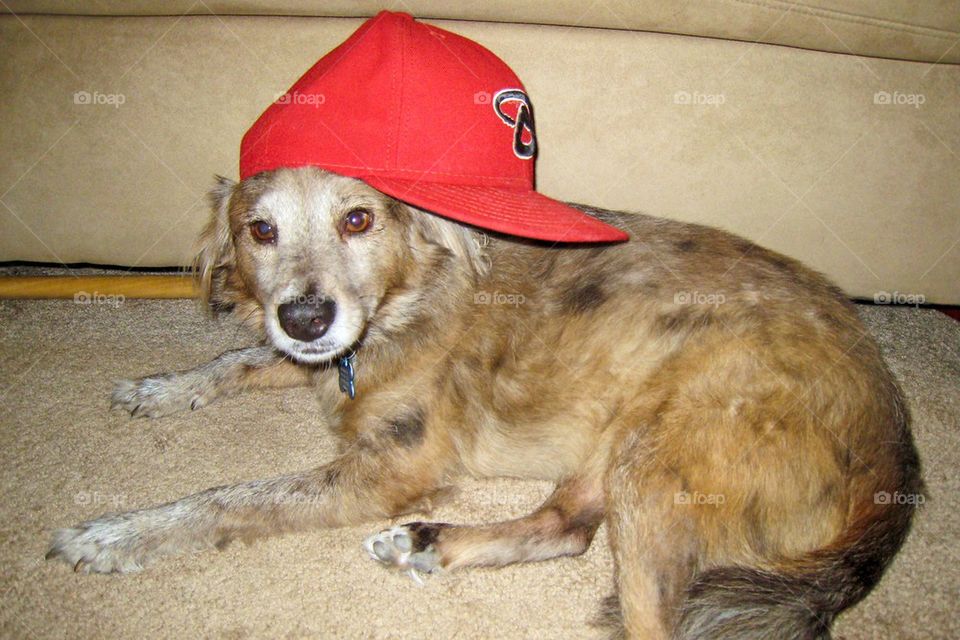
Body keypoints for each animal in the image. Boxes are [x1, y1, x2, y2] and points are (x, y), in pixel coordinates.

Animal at [47, 168, 924, 636]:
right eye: (259, 230)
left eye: (358, 218)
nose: (306, 316)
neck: (410, 292)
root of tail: (896, 440)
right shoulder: (318, 357)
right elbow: (235, 358)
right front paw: (163, 388)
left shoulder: (391, 467)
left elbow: (227, 498)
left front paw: (116, 533)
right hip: (619, 447)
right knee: (563, 530)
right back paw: (433, 545)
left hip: (660, 463)